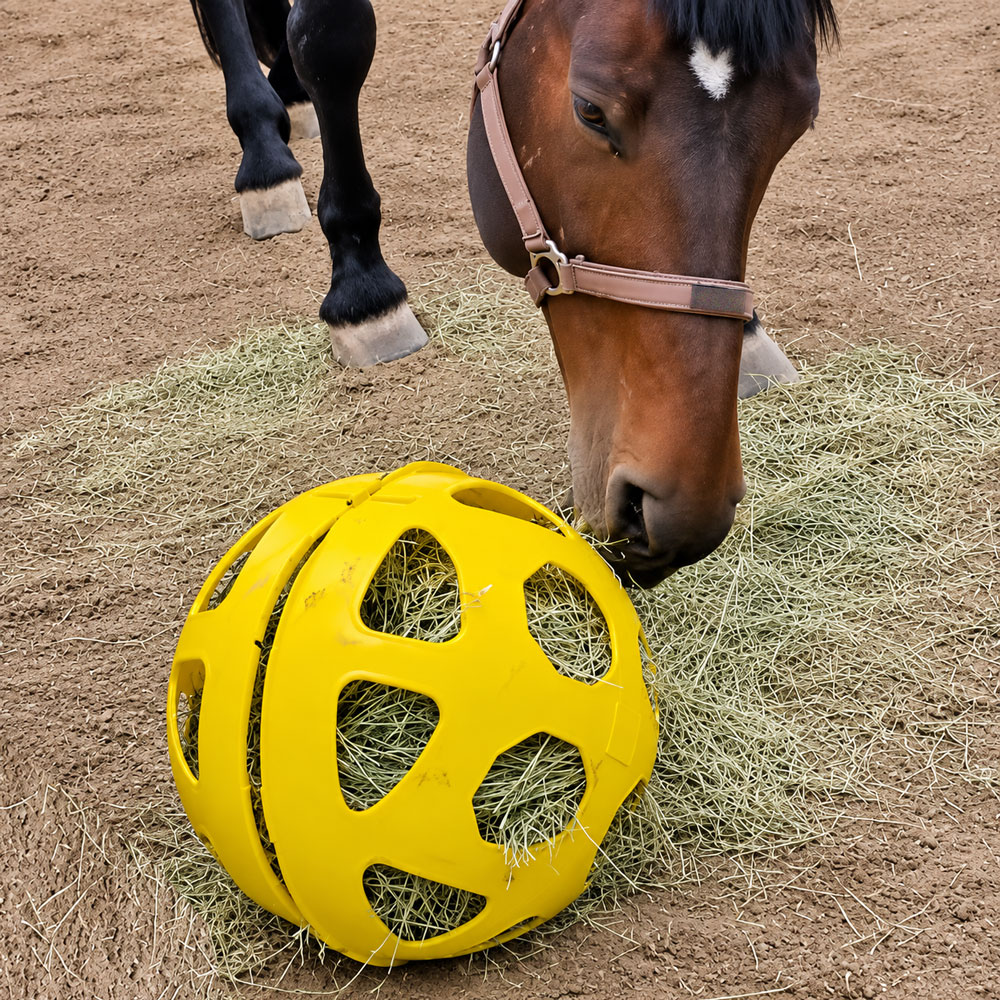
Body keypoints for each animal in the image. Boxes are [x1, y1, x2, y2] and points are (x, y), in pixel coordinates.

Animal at [186, 0, 837, 588]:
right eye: (590, 110)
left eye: (799, 122)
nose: (678, 514)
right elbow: (329, 37)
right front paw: (363, 293)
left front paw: (751, 337)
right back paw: (267, 161)